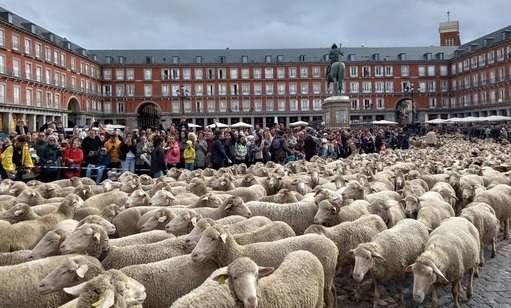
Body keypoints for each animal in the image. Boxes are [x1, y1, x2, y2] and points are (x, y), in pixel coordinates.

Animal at [192, 224, 340, 308]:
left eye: (213, 238)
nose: (194, 254)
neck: (238, 252)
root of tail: (333, 245)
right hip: (329, 276)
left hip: (325, 278)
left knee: (328, 297)